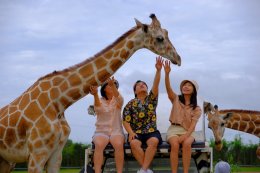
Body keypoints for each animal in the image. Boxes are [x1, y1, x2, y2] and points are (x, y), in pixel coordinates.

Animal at [0, 13, 181, 173]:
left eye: (167, 33)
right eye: (160, 38)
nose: (178, 58)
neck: (58, 101)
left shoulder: (56, 154)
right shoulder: (37, 153)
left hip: (7, 161)